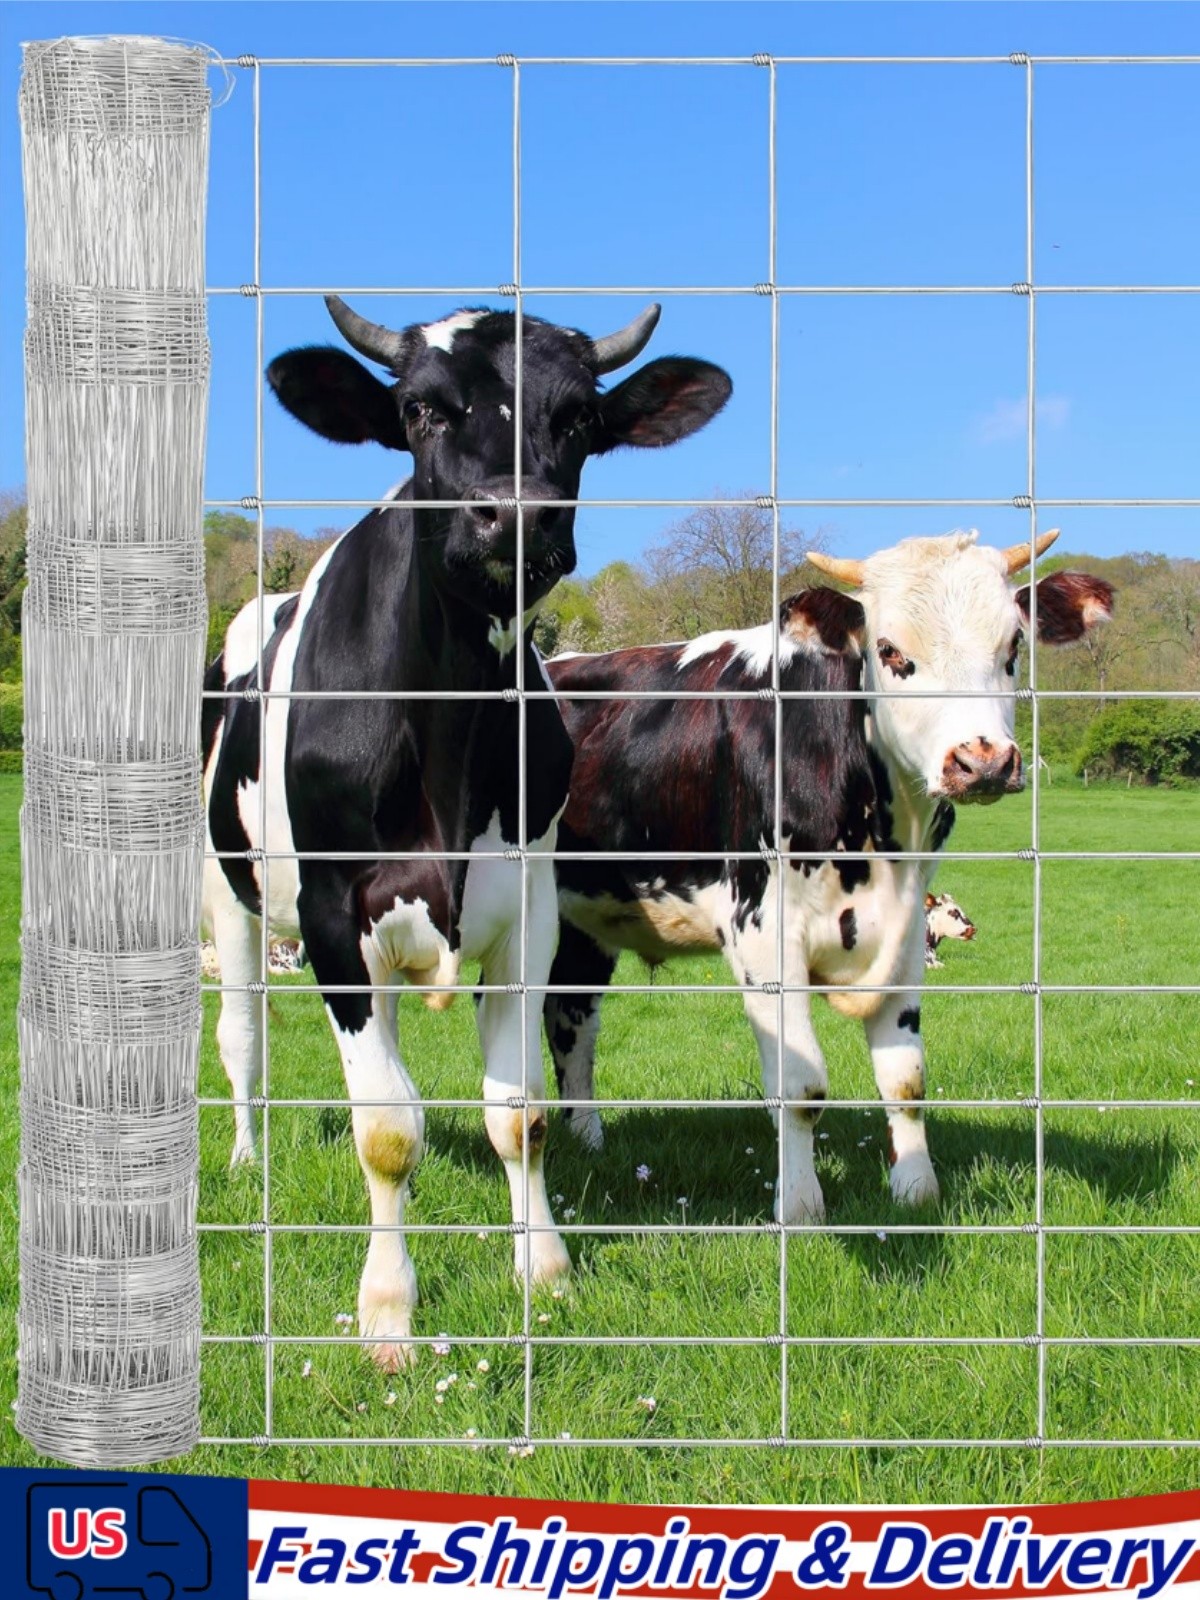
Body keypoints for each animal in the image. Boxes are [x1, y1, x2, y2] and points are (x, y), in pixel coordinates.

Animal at [202, 296, 731, 1370]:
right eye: (419, 408)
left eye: (580, 417)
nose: (515, 515)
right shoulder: (331, 915)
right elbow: (385, 1132)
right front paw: (388, 1314)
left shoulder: (528, 909)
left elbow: (519, 1113)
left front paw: (546, 1271)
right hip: (224, 890)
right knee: (242, 1038)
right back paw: (243, 1156)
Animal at [543, 530, 1113, 1222]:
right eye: (889, 650)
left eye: (1013, 648)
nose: (982, 762)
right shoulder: (762, 932)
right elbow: (801, 1085)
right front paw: (800, 1205)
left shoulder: (906, 935)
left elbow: (906, 1078)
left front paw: (916, 1190)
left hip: (582, 921)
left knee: (571, 1021)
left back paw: (587, 1142)